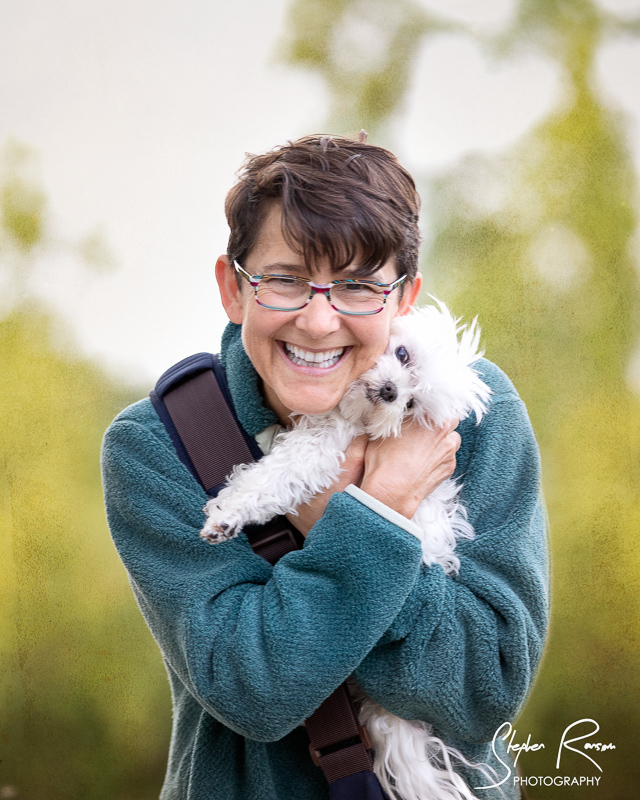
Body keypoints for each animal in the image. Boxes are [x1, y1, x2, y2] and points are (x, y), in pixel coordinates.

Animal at [200, 302, 496, 800]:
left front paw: (227, 514)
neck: (350, 415)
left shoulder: (322, 451)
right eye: (402, 354)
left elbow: (273, 477)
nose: (392, 390)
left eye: (411, 406)